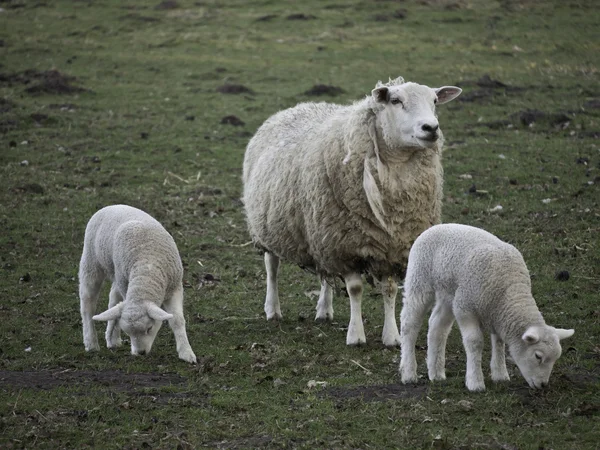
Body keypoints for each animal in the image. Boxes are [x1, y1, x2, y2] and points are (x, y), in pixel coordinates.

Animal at [78, 204, 196, 362]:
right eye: (128, 333)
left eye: (149, 328)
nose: (140, 352)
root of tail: (112, 206)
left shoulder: (175, 288)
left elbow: (177, 320)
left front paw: (186, 352)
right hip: (91, 263)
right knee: (88, 304)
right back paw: (91, 343)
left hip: (117, 273)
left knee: (113, 300)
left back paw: (112, 339)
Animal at [241, 75, 462, 346]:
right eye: (395, 100)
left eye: (434, 101)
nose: (431, 128)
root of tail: (297, 107)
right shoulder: (347, 244)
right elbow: (355, 289)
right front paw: (356, 335)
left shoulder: (389, 245)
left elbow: (389, 289)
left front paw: (392, 336)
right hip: (270, 226)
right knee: (272, 266)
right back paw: (273, 310)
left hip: (320, 230)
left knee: (324, 273)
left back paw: (324, 310)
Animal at [400, 224, 576, 390]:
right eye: (538, 356)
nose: (543, 385)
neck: (509, 292)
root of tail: (435, 227)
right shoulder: (465, 308)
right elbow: (475, 342)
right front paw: (475, 382)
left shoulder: (498, 314)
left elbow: (499, 342)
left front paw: (500, 375)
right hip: (420, 281)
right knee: (409, 325)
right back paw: (408, 373)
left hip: (449, 294)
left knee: (437, 326)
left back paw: (436, 373)